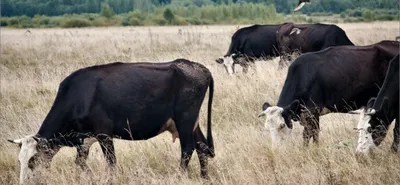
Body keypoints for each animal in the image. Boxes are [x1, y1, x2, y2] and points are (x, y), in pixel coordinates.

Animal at [8, 58, 216, 184]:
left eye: (32, 160)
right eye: (19, 161)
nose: (23, 183)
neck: (79, 95)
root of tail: (196, 66)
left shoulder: (104, 133)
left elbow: (111, 162)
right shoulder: (84, 140)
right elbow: (80, 164)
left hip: (185, 119)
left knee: (188, 148)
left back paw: (180, 176)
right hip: (190, 123)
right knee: (202, 146)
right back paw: (204, 178)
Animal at [258, 40, 398, 146]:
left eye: (282, 125)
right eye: (266, 128)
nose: (276, 148)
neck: (303, 76)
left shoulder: (312, 111)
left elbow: (308, 134)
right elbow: (314, 134)